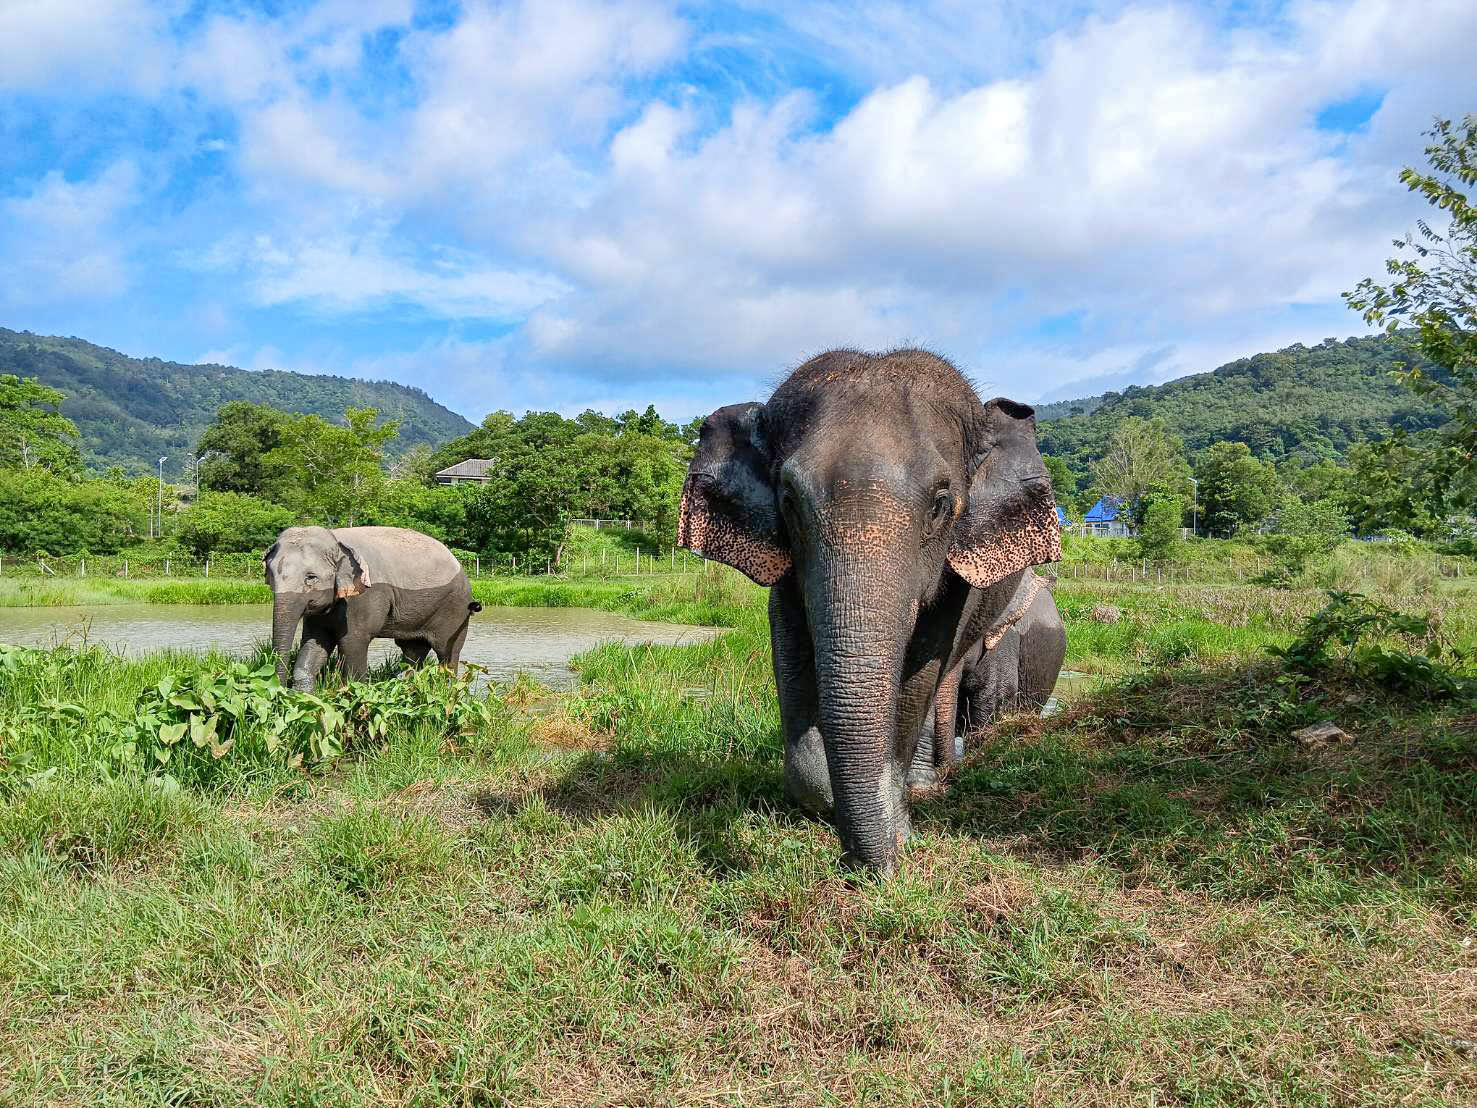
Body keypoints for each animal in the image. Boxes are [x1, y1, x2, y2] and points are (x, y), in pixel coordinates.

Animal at [265, 525, 481, 691]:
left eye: (311, 577)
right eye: (271, 574)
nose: (277, 689)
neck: (336, 540)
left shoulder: (363, 598)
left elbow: (353, 643)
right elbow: (314, 643)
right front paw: (302, 697)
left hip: (455, 609)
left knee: (447, 654)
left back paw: (447, 690)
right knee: (413, 650)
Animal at [677, 348, 1062, 875]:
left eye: (941, 503)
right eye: (788, 499)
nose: (873, 866)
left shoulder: (959, 576)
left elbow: (922, 671)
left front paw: (898, 827)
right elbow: (790, 649)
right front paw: (836, 803)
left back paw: (924, 784)